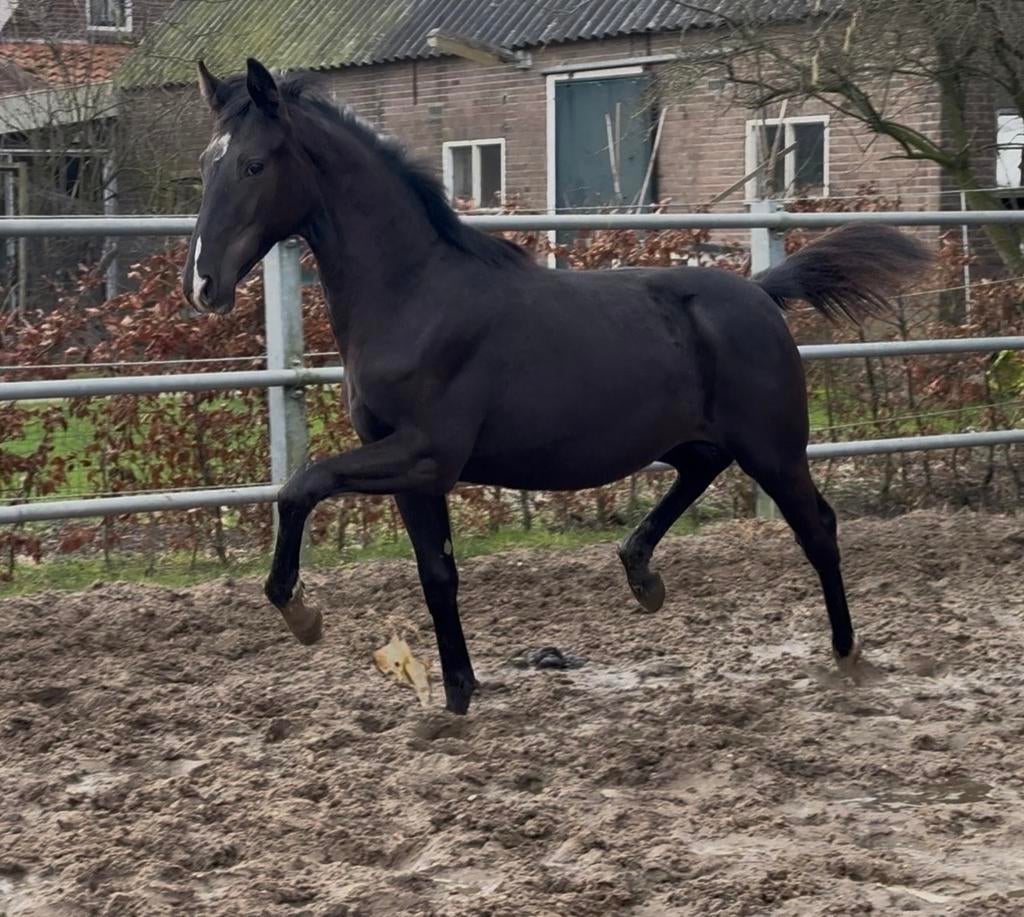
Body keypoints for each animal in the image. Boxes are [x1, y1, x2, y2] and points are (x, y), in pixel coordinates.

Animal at [183, 58, 930, 715]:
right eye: (206, 166)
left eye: (253, 164)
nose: (203, 285)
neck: (415, 296)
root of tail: (761, 291)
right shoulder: (414, 472)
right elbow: (437, 575)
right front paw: (457, 699)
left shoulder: (425, 454)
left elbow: (300, 486)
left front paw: (302, 613)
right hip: (687, 437)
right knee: (702, 470)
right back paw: (642, 573)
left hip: (774, 448)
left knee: (818, 527)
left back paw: (847, 657)